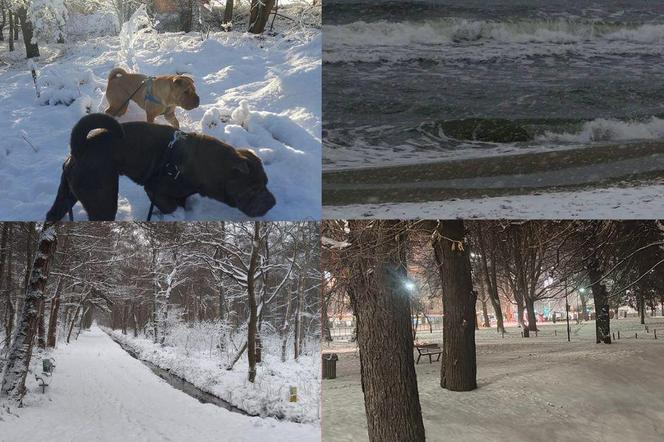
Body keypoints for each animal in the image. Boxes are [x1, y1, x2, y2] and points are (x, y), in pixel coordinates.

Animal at [46, 112, 274, 219]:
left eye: (267, 183)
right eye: (254, 188)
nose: (273, 202)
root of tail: (80, 147)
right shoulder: (156, 189)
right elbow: (171, 206)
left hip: (69, 194)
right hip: (102, 199)